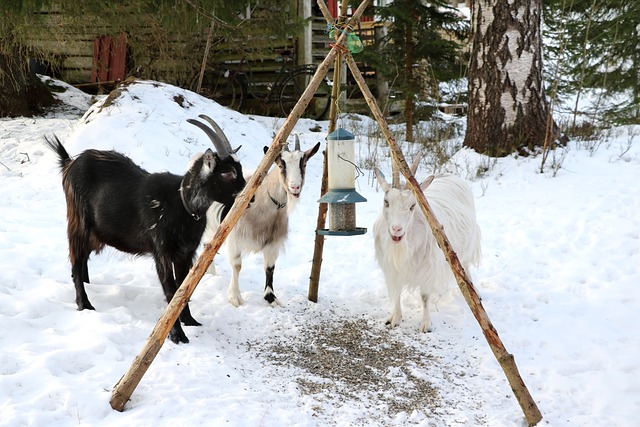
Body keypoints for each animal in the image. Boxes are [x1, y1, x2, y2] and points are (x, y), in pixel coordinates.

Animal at [46, 114, 246, 344]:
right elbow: (170, 289)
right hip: (78, 223)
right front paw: (177, 335)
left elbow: (183, 288)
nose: (248, 195)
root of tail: (70, 162)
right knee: (75, 259)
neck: (181, 203)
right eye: (228, 173)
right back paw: (84, 304)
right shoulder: (161, 251)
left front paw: (189, 320)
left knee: (81, 259)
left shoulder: (185, 253)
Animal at [205, 135, 320, 306]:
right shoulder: (234, 237)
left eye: (303, 164)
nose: (295, 187)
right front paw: (235, 297)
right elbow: (237, 265)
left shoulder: (273, 242)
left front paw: (271, 297)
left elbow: (270, 268)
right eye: (281, 165)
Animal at [370, 171, 480, 334]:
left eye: (412, 206)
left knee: (465, 267)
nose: (397, 229)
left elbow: (425, 296)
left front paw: (426, 324)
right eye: (386, 202)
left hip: (465, 248)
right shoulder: (391, 269)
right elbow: (396, 292)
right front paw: (395, 318)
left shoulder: (429, 269)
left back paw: (474, 293)